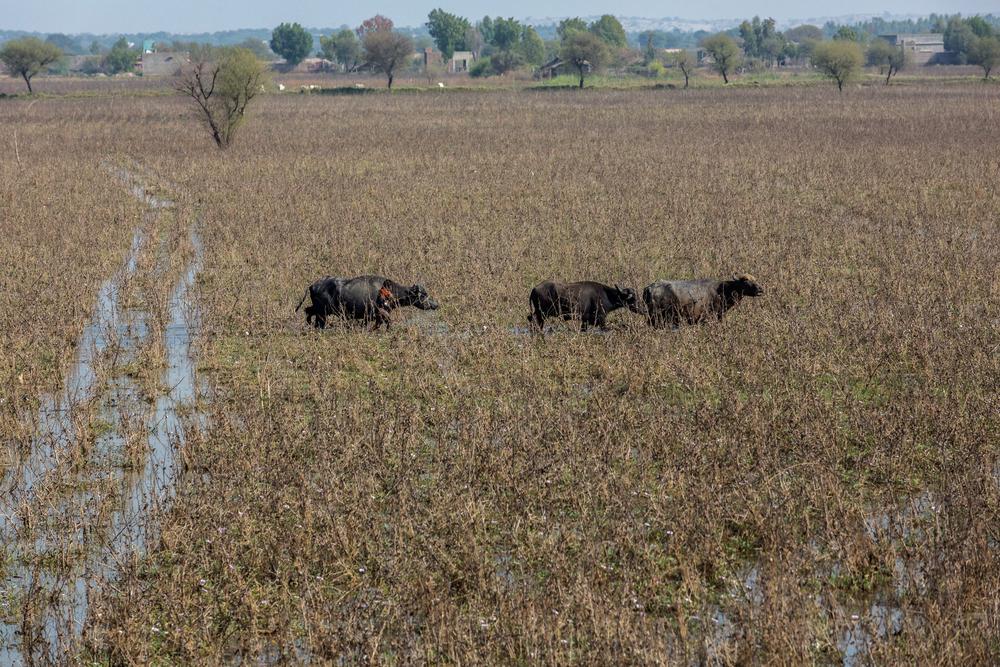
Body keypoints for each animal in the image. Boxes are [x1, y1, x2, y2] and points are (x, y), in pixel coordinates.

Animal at [296, 276, 438, 330]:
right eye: (423, 295)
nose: (435, 304)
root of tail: (313, 285)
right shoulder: (377, 312)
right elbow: (386, 321)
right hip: (322, 312)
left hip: (319, 310)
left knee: (308, 311)